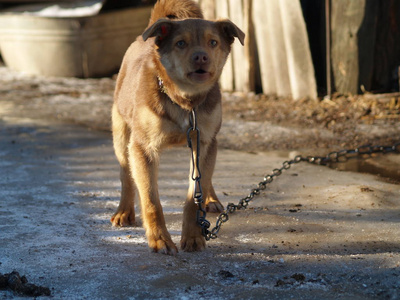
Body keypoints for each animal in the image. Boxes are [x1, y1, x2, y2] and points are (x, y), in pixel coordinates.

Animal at [111, 0, 245, 255]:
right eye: (180, 43)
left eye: (213, 42)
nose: (201, 57)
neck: (185, 103)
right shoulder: (143, 148)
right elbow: (151, 200)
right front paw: (159, 240)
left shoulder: (203, 141)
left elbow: (194, 196)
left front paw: (193, 236)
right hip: (121, 135)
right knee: (126, 175)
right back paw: (124, 211)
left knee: (207, 178)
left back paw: (211, 199)